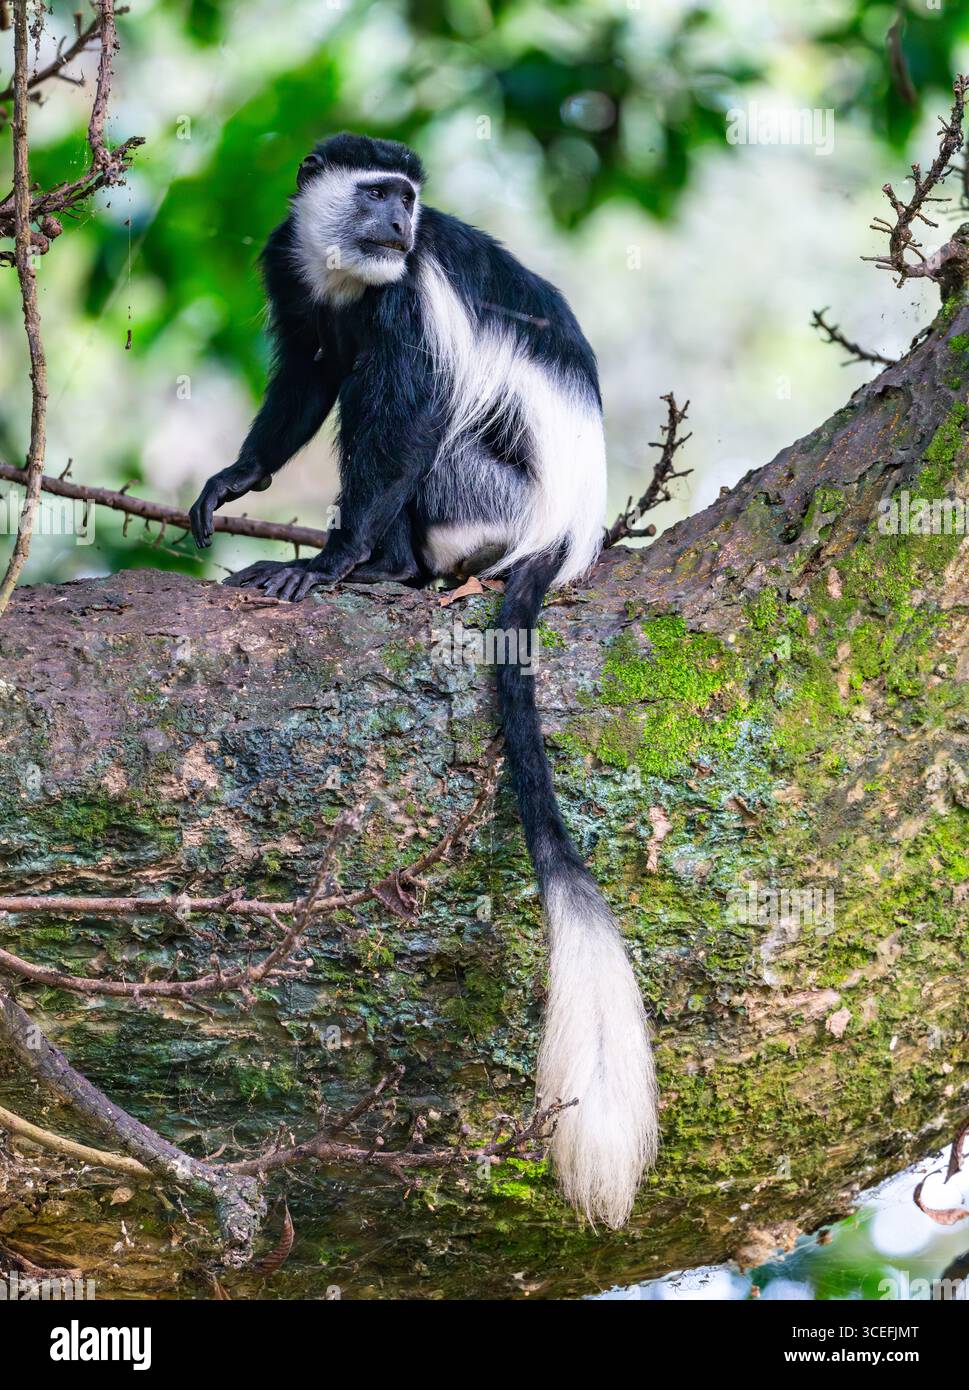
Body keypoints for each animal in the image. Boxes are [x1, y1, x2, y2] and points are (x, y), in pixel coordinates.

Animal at [189, 133, 657, 1228]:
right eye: (378, 193)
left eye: (410, 199)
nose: (401, 223)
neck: (350, 270)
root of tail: (567, 531)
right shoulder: (290, 264)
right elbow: (309, 372)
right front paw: (236, 480)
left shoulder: (409, 298)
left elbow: (400, 408)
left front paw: (328, 563)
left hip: (492, 491)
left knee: (414, 423)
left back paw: (390, 566)